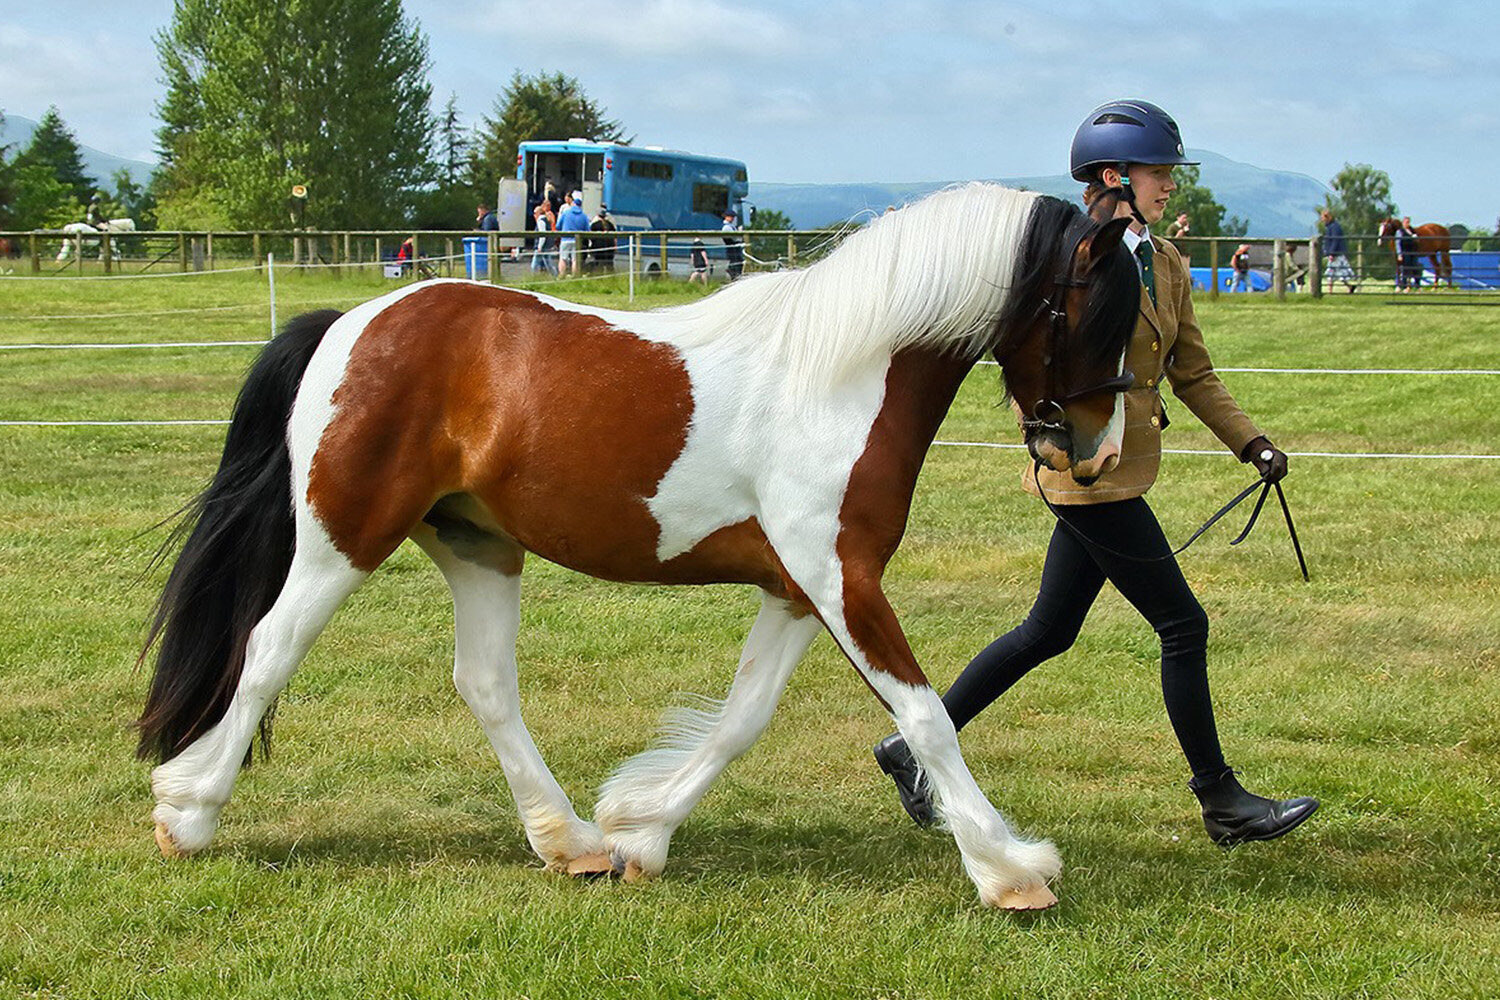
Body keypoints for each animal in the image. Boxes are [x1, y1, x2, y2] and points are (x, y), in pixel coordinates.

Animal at [138, 183, 1134, 911]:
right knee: (268, 650)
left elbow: (743, 719)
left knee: (484, 683)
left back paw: (571, 843)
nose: (1096, 454)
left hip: (477, 545)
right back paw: (187, 815)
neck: (837, 379)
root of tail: (349, 324)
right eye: (1099, 314)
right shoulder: (838, 577)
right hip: (344, 538)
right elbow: (925, 717)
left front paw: (641, 831)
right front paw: (1011, 871)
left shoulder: (798, 589)